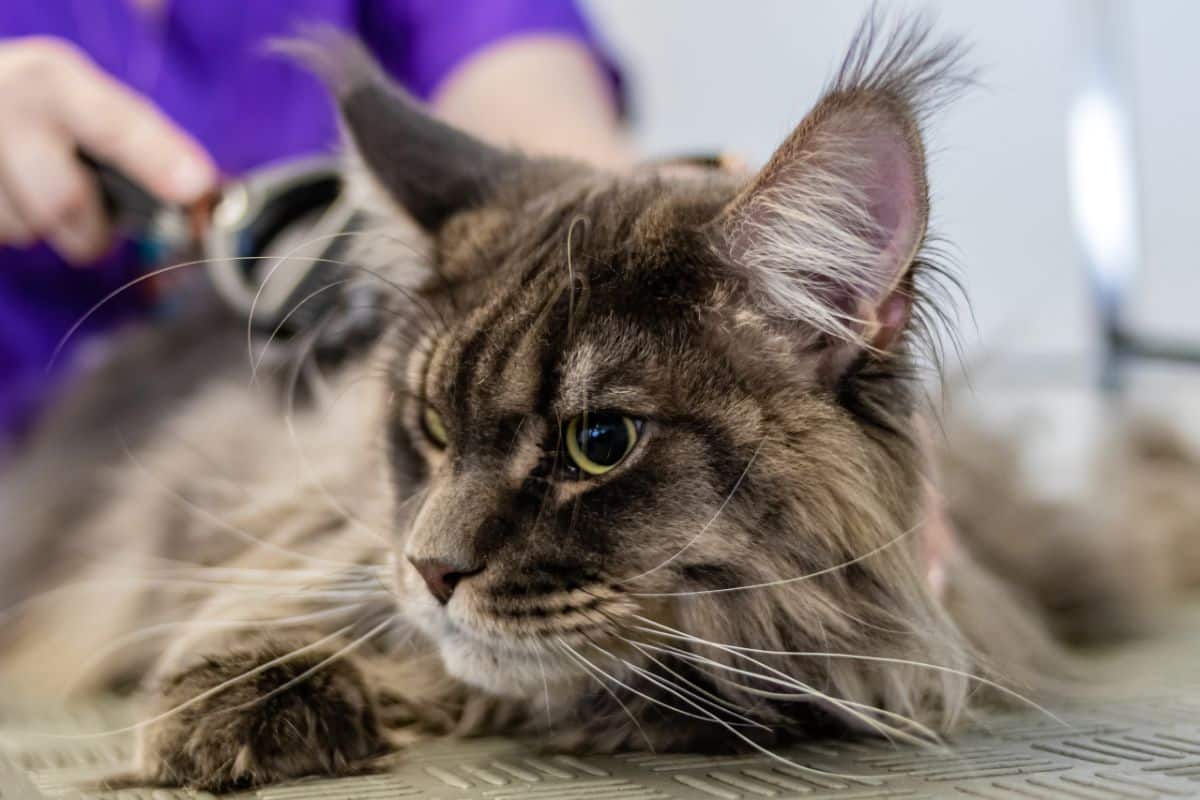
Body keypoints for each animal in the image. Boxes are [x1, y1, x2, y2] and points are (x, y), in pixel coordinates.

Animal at [2, 12, 1200, 796]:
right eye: (430, 430)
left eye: (599, 442)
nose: (432, 569)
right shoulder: (295, 516)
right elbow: (292, 593)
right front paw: (247, 700)